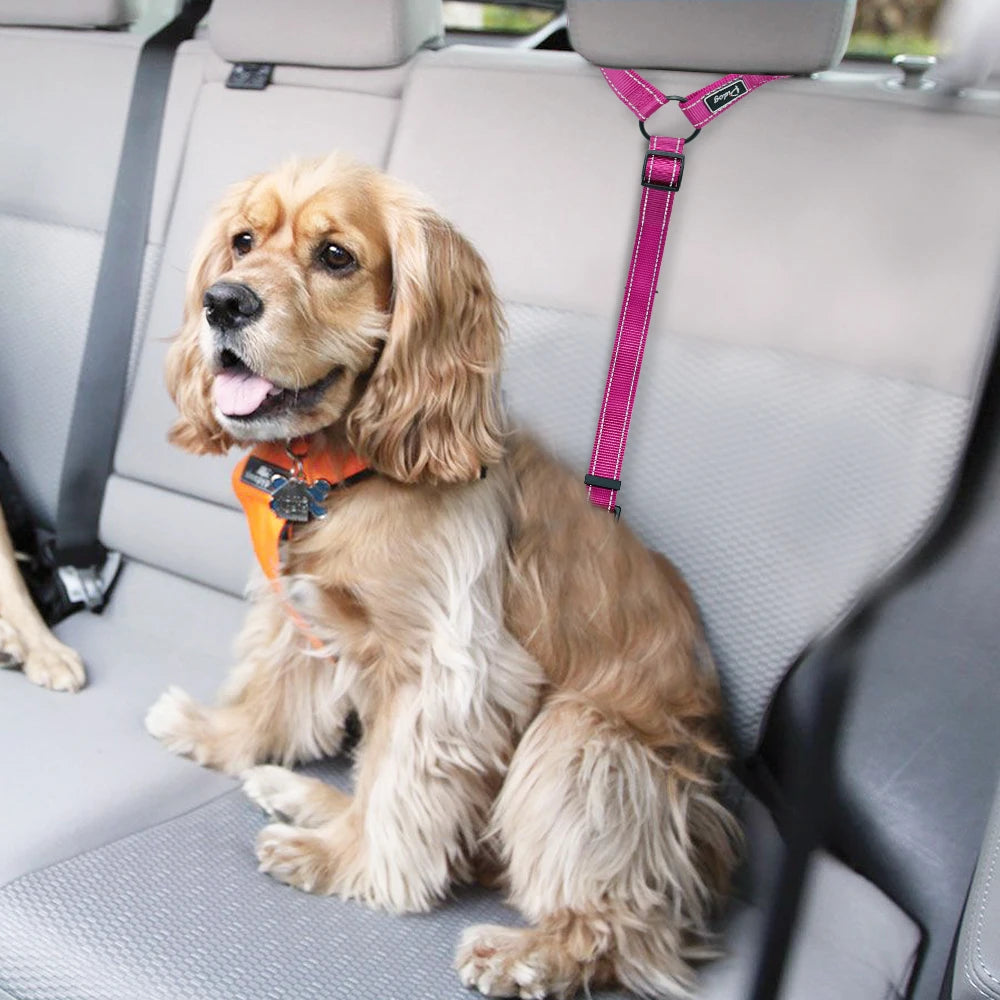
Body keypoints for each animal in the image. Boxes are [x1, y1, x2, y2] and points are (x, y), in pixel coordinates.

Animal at [145, 156, 740, 1000]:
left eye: (336, 256)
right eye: (242, 242)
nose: (222, 302)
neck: (342, 470)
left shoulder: (449, 670)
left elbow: (399, 789)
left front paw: (351, 866)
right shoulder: (303, 604)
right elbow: (271, 690)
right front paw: (218, 736)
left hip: (581, 737)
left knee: (628, 927)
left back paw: (531, 953)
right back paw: (300, 796)